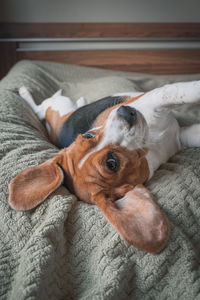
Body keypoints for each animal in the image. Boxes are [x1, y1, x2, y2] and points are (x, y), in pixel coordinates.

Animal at [7, 81, 200, 253]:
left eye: (87, 135)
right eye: (111, 163)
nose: (125, 111)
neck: (148, 143)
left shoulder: (180, 135)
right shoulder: (158, 98)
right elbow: (182, 90)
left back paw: (80, 101)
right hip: (57, 104)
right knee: (39, 107)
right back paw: (24, 93)